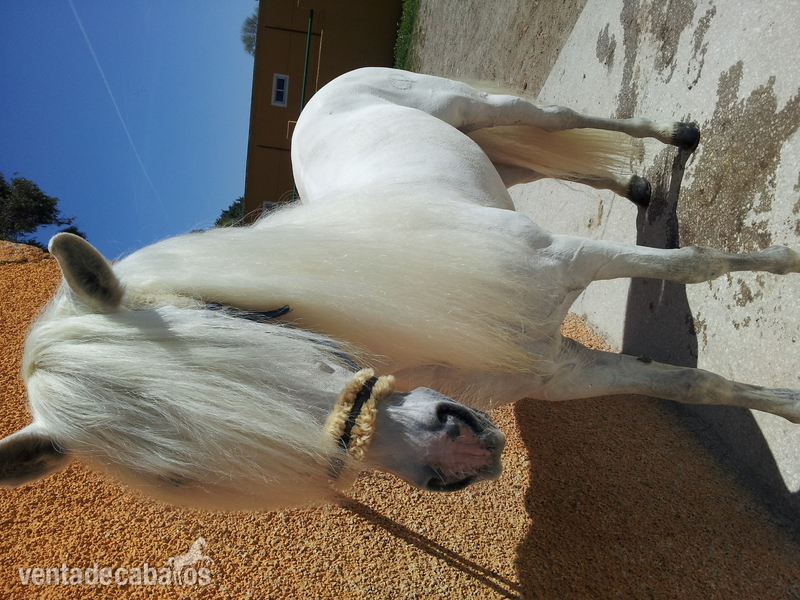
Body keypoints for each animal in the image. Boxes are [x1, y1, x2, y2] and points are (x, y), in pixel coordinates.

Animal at [1, 67, 798, 511]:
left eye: (235, 340)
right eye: (178, 477)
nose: (456, 456)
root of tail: (318, 94)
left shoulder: (568, 258)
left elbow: (699, 266)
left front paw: (787, 259)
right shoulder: (560, 370)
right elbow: (696, 385)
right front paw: (788, 406)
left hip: (481, 108)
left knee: (564, 119)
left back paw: (681, 135)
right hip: (495, 157)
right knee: (553, 160)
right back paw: (639, 185)